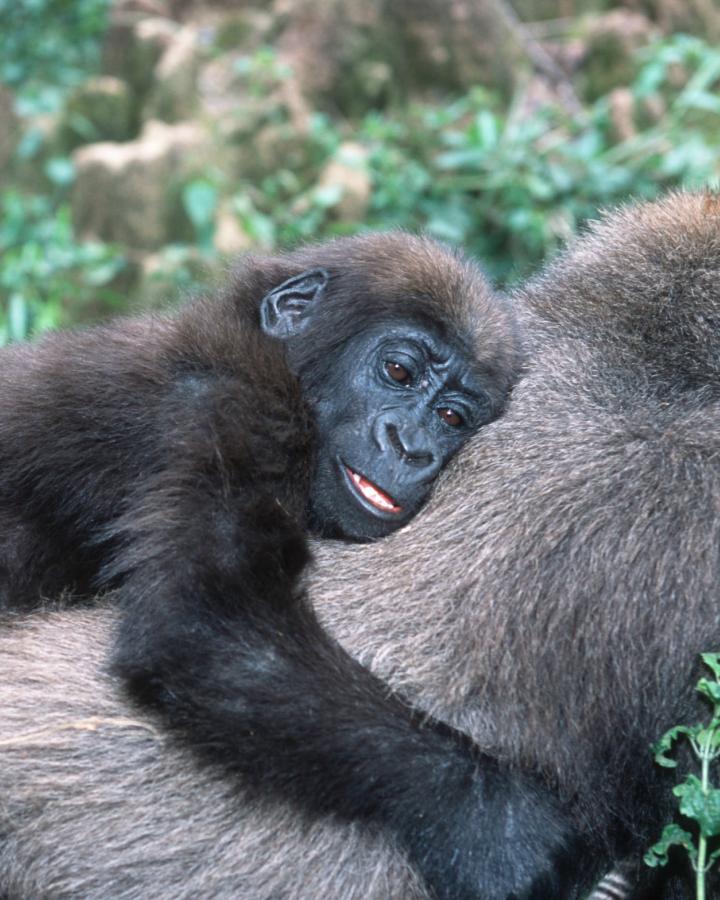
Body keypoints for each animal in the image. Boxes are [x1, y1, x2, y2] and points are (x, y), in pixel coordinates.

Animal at [1, 192, 720, 900]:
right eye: (397, 370)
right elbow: (202, 617)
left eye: (453, 416)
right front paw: (500, 827)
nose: (411, 445)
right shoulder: (240, 407)